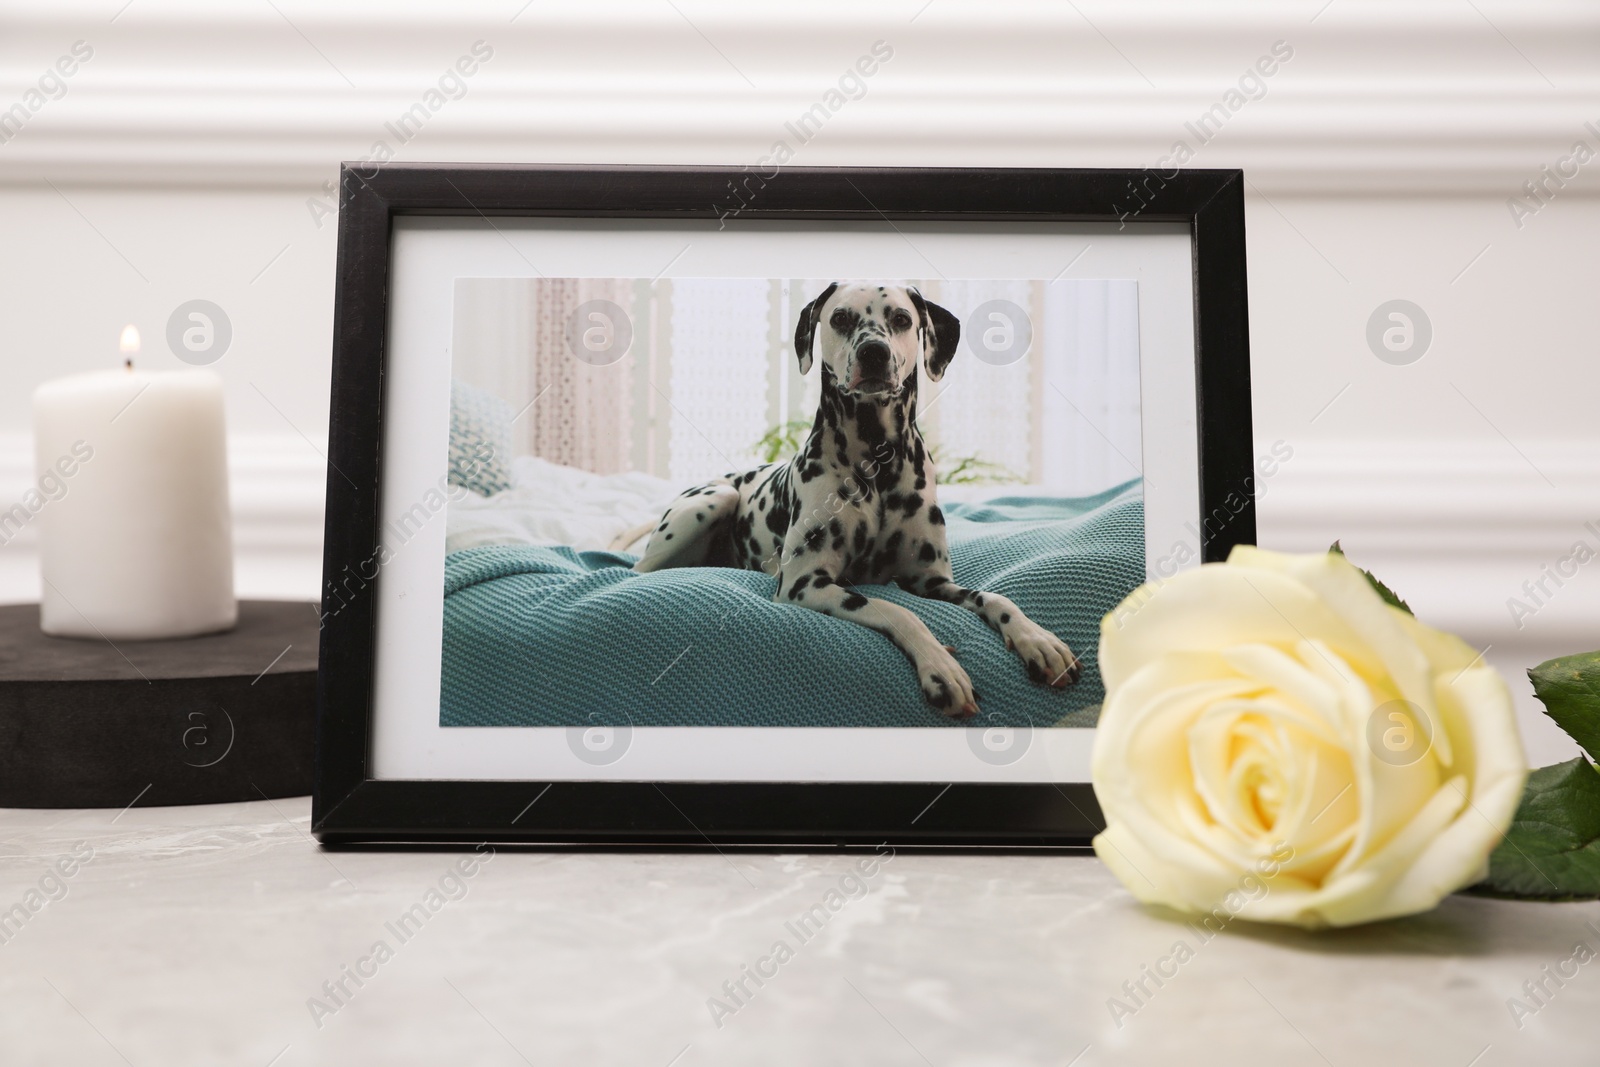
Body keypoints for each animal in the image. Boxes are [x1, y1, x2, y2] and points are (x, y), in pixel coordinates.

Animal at [630, 281, 1081, 716]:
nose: (874, 352)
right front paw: (941, 666)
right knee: (638, 570)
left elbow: (994, 596)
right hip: (711, 503)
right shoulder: (805, 583)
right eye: (841, 318)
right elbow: (898, 610)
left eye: (902, 318)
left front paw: (1037, 639)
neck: (876, 460)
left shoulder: (931, 580)